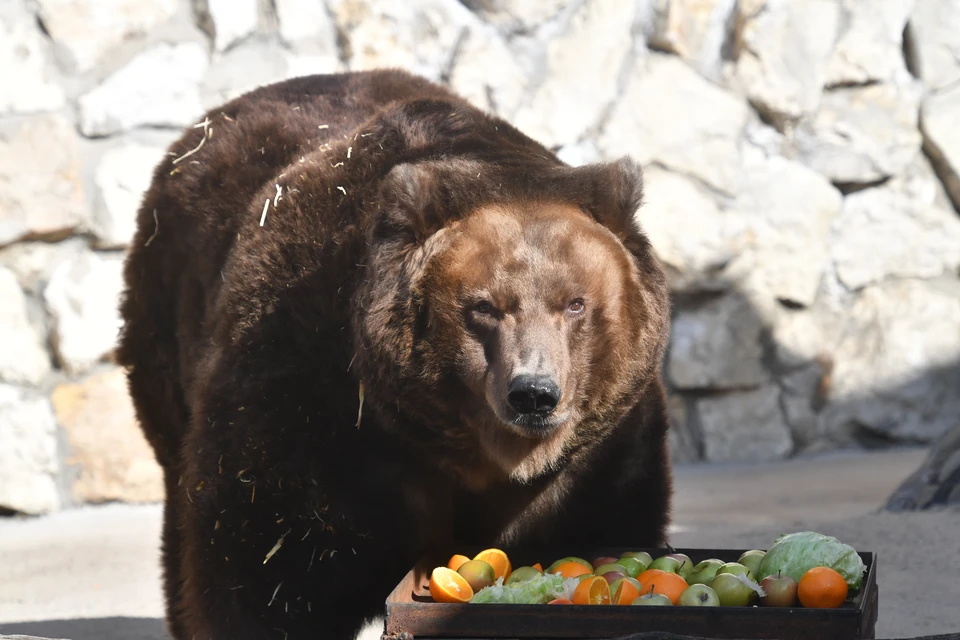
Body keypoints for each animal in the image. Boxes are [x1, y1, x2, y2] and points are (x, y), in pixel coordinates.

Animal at [120, 70, 672, 640]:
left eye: (575, 303)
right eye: (484, 307)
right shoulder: (316, 404)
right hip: (167, 321)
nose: (534, 394)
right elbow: (265, 565)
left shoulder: (591, 462)